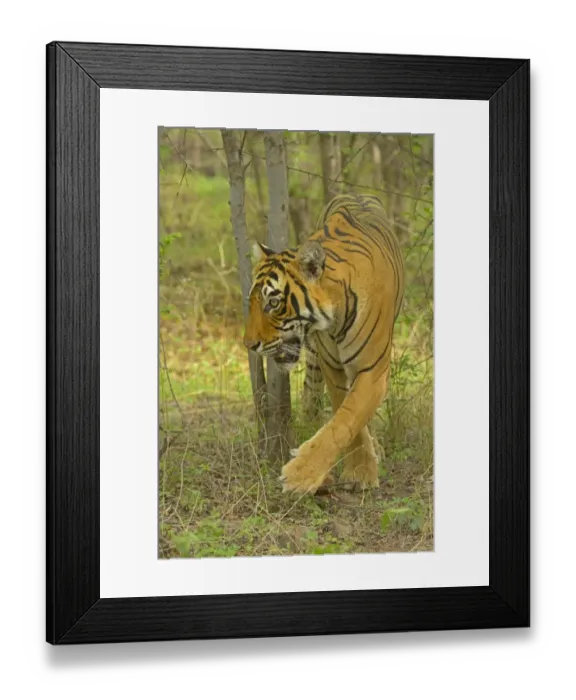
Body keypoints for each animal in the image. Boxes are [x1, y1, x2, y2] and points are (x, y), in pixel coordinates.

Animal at [243, 193, 406, 495]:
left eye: (273, 302)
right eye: (253, 302)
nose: (248, 344)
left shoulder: (372, 370)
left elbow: (348, 418)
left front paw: (300, 475)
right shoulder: (333, 368)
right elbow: (346, 416)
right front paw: (360, 468)